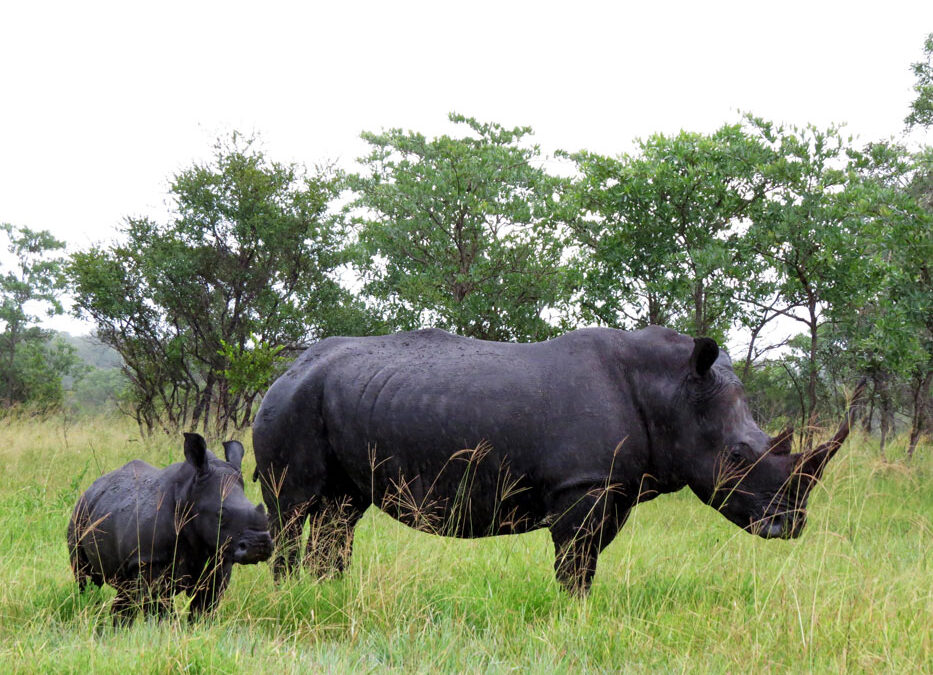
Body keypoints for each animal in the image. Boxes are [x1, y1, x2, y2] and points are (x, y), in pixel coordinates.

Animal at [68, 433, 273, 623]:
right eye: (221, 515)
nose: (259, 545)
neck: (190, 494)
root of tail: (91, 487)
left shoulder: (219, 559)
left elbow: (204, 609)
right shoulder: (150, 561)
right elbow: (161, 610)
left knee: (125, 592)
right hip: (79, 516)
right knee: (87, 580)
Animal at [252, 326, 863, 595]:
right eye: (737, 456)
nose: (790, 526)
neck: (671, 391)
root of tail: (284, 369)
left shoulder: (611, 487)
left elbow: (587, 559)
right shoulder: (583, 486)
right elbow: (576, 563)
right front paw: (575, 612)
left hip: (335, 399)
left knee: (341, 510)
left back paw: (326, 593)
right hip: (293, 403)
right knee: (294, 504)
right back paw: (288, 595)